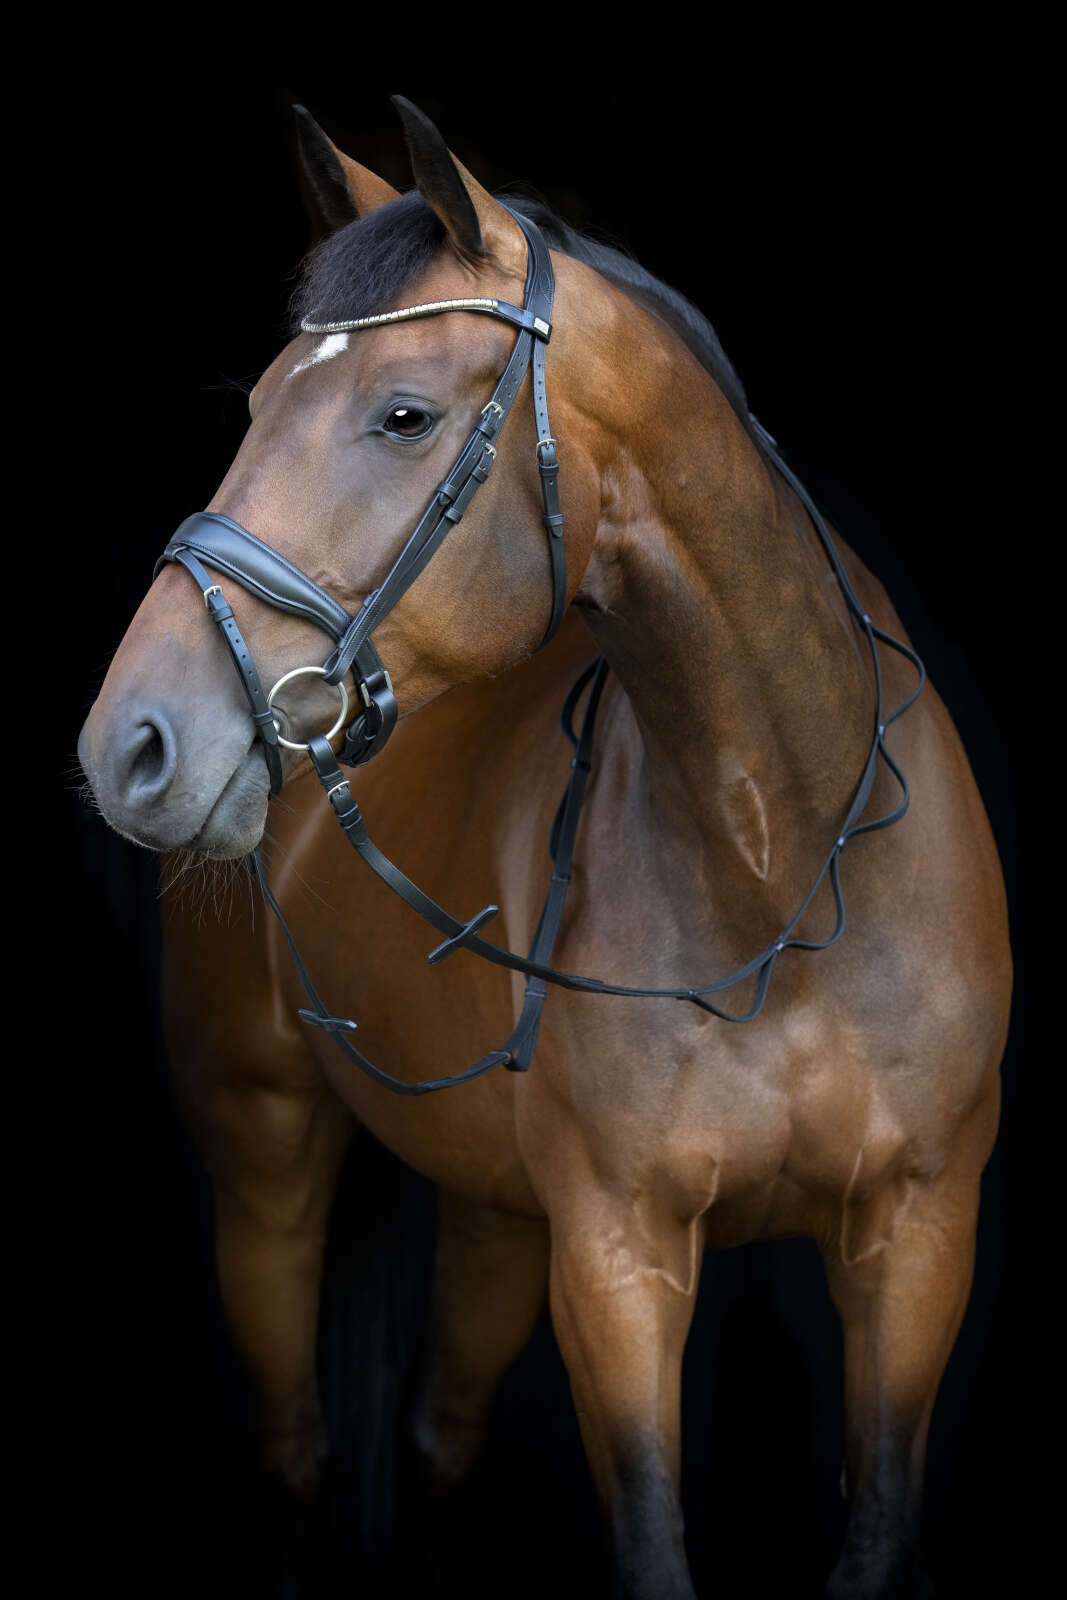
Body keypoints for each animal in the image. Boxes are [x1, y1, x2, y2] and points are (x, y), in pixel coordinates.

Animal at [77, 98, 1011, 1599]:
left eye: (402, 415)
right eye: (255, 406)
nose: (133, 743)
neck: (785, 864)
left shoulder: (917, 1241)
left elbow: (872, 1522)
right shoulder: (617, 1262)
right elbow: (647, 1540)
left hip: (494, 1213)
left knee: (441, 1437)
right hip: (264, 1153)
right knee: (294, 1452)